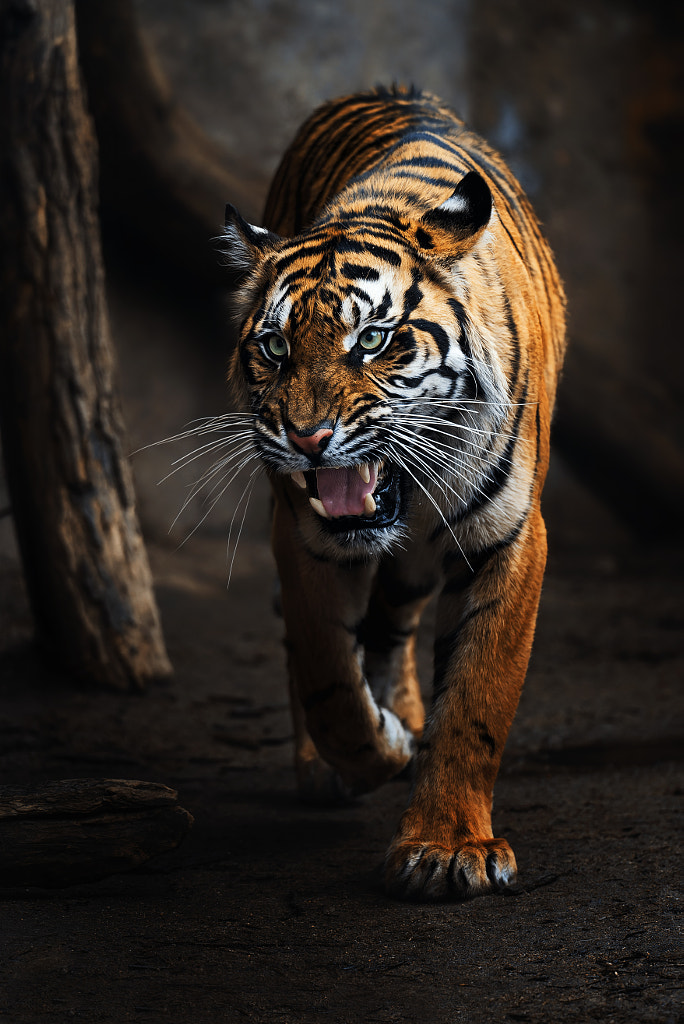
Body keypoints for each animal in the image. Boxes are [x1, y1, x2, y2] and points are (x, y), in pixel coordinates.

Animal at [219, 88, 565, 905]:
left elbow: (475, 699)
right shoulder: (306, 537)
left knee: (396, 622)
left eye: (373, 341)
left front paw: (447, 847)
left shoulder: (510, 538)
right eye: (275, 347)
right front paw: (372, 751)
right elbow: (328, 677)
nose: (308, 436)